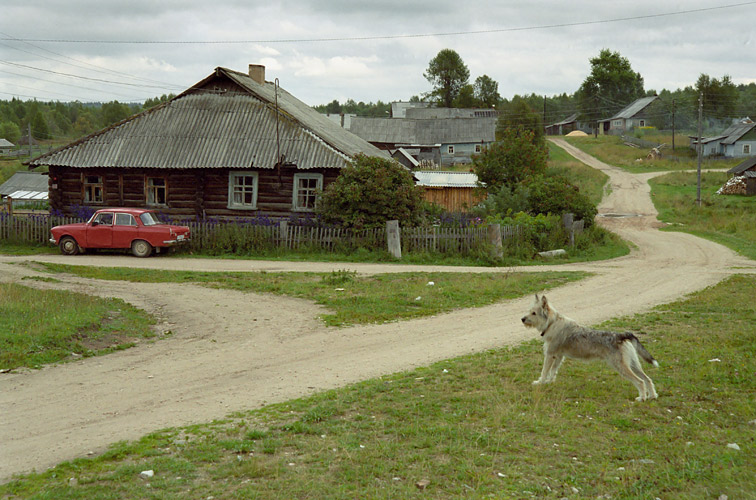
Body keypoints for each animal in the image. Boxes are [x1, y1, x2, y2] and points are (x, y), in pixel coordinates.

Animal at [524, 294, 660, 400]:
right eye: (529, 311)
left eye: (534, 313)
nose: (522, 319)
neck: (552, 323)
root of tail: (622, 335)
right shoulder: (558, 356)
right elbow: (553, 372)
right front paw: (549, 382)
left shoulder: (549, 355)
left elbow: (544, 372)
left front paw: (540, 383)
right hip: (633, 364)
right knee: (648, 379)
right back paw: (652, 396)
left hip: (621, 367)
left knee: (640, 381)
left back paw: (642, 398)